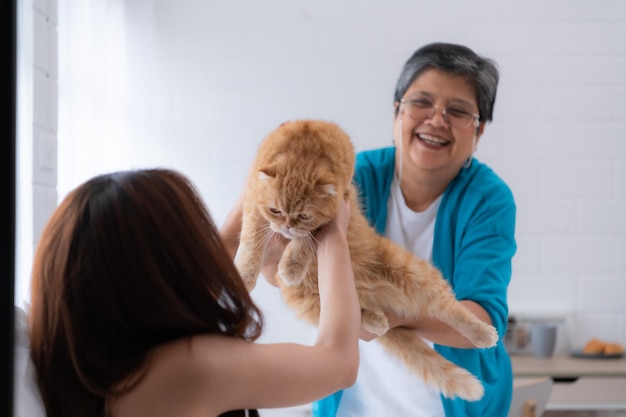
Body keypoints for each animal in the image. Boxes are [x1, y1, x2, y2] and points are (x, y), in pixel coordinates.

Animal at [234, 118, 498, 398]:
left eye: (304, 216)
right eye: (275, 211)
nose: (286, 227)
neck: (303, 148)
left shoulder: (336, 208)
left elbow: (306, 240)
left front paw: (291, 264)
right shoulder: (253, 204)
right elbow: (251, 240)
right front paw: (245, 274)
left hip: (412, 274)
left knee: (451, 309)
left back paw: (482, 333)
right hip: (317, 303)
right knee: (360, 313)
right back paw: (376, 319)